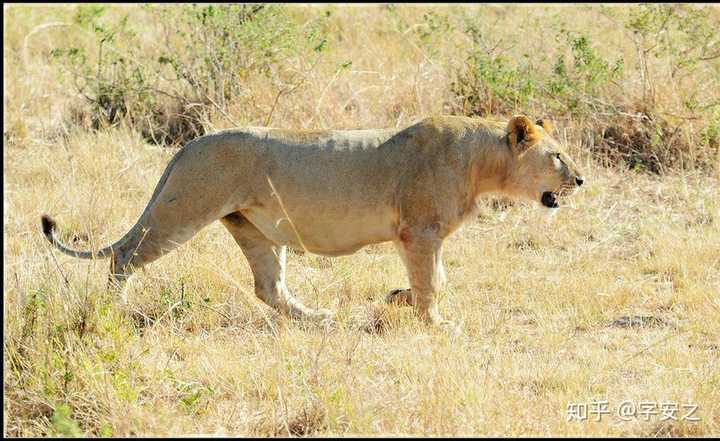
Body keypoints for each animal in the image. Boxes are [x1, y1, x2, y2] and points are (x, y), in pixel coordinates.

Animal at [40, 115, 584, 328]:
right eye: (557, 156)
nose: (580, 180)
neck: (481, 162)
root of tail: (189, 144)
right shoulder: (420, 232)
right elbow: (433, 283)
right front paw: (434, 323)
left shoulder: (419, 237)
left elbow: (435, 279)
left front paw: (397, 298)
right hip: (184, 207)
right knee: (124, 256)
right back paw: (114, 311)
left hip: (254, 229)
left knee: (269, 288)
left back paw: (317, 318)